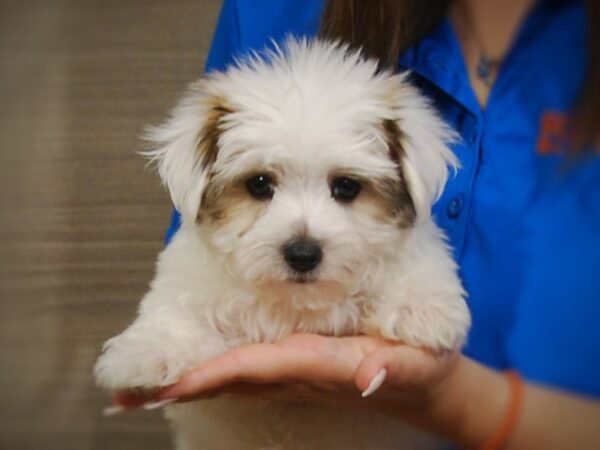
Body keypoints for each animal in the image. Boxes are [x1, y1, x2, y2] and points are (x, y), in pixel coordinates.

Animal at [95, 39, 468, 450]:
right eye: (259, 184)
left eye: (346, 187)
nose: (303, 254)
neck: (296, 304)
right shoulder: (191, 281)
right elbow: (173, 313)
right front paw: (147, 353)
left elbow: (420, 266)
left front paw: (421, 310)